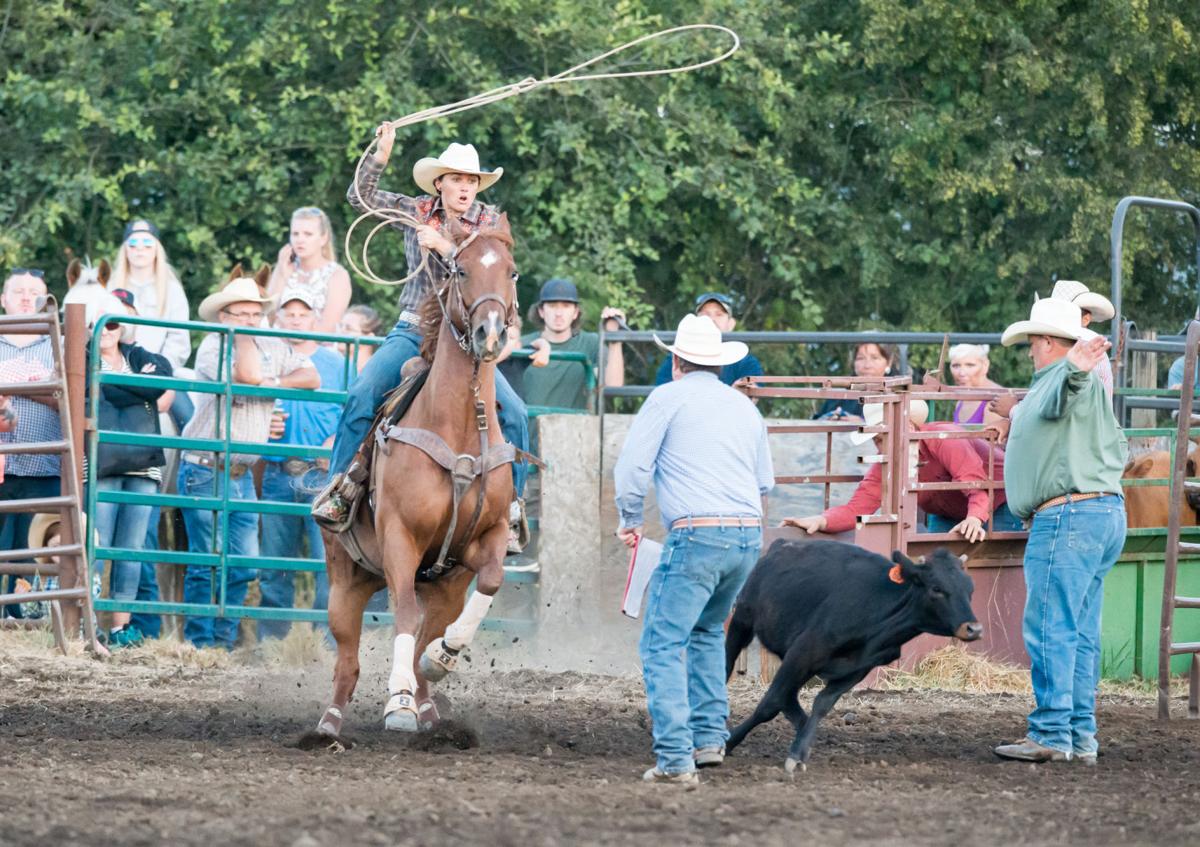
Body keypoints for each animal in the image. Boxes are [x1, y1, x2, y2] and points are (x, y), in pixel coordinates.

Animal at [309, 218, 516, 739]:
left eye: (512, 272)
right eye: (460, 269)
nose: (489, 333)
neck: (460, 427)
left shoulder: (487, 537)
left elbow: (491, 581)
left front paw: (442, 660)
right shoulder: (400, 537)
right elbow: (402, 609)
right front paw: (397, 700)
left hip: (444, 588)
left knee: (428, 629)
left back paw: (428, 703)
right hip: (344, 584)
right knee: (347, 661)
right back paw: (331, 723)